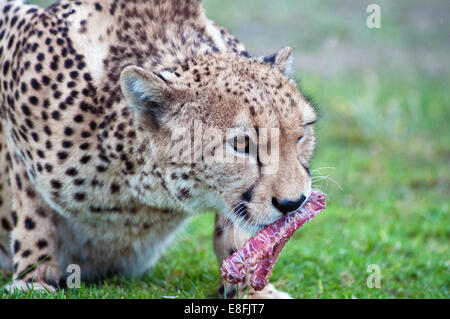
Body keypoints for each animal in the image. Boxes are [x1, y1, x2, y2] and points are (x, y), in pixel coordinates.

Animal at [0, 0, 316, 300]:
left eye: (301, 135)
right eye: (241, 144)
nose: (293, 203)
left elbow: (234, 227)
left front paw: (251, 288)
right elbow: (31, 211)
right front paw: (34, 278)